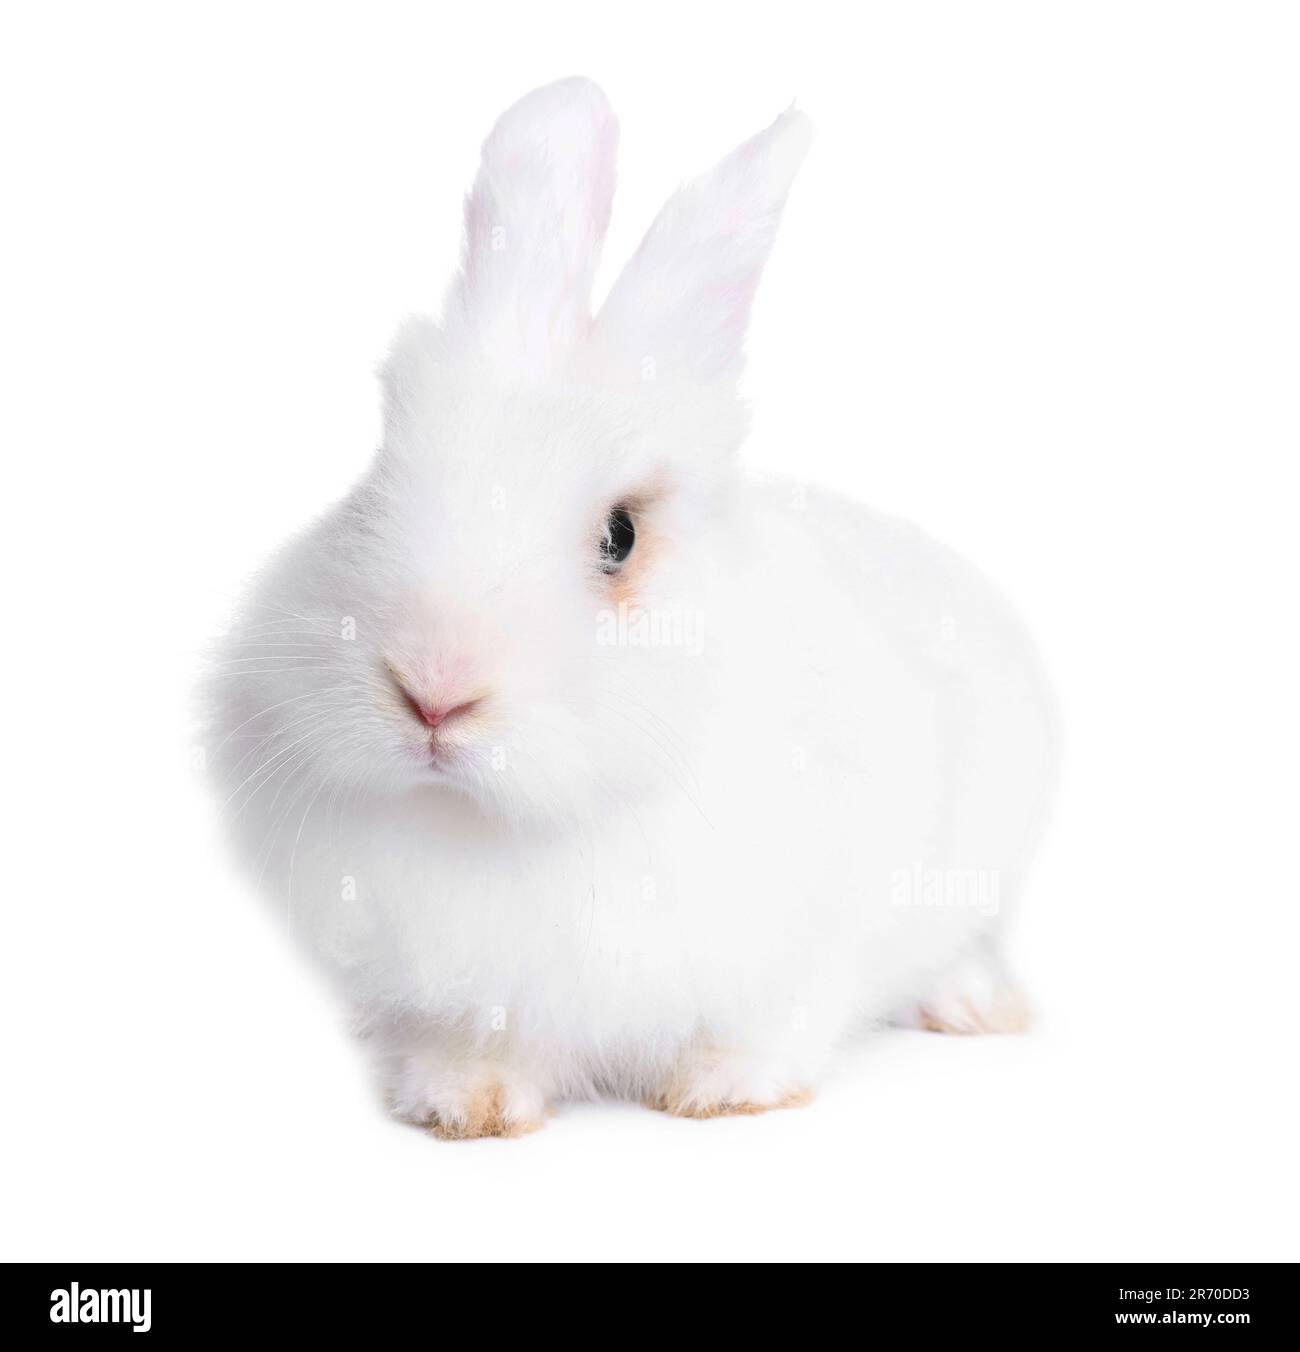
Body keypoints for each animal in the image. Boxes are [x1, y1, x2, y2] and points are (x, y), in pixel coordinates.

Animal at [204, 77, 1056, 1138]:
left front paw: (725, 1090)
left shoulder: (809, 942)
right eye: (373, 486)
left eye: (621, 536)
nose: (435, 692)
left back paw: (979, 1010)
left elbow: (775, 1020)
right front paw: (465, 1103)